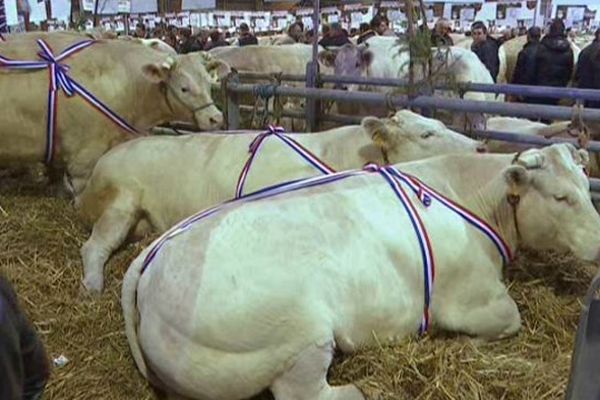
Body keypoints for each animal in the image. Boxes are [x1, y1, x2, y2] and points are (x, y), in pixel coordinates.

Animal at [122, 144, 600, 400]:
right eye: (561, 197)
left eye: (585, 183)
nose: (599, 241)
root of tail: (152, 261)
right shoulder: (475, 298)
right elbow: (509, 320)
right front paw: (464, 343)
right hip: (299, 336)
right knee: (305, 393)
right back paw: (360, 388)